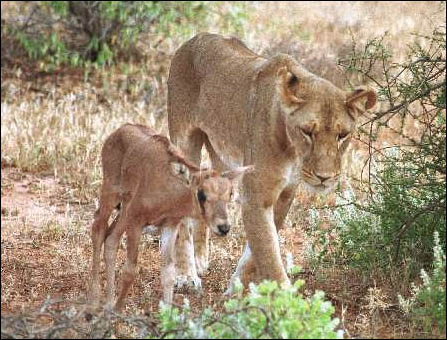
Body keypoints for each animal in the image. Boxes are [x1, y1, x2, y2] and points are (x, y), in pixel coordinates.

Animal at [86, 124, 250, 310]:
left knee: (111, 238)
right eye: (202, 194)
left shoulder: (169, 225)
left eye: (230, 193)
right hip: (111, 194)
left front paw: (166, 312)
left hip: (124, 211)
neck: (169, 189)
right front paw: (118, 310)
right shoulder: (136, 222)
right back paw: (93, 302)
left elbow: (168, 273)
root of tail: (119, 131)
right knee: (98, 228)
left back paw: (107, 303)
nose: (224, 227)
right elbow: (130, 270)